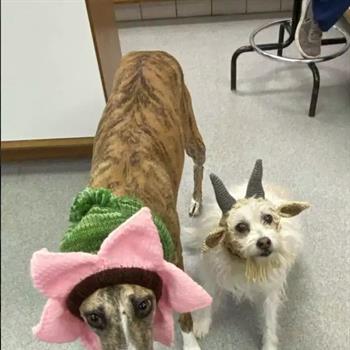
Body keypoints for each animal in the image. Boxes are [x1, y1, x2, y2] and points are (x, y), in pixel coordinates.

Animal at [185, 160, 310, 348]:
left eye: (268, 218)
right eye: (241, 227)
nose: (264, 242)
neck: (246, 262)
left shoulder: (270, 290)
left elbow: (269, 322)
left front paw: (269, 345)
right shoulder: (212, 274)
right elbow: (209, 298)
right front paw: (202, 323)